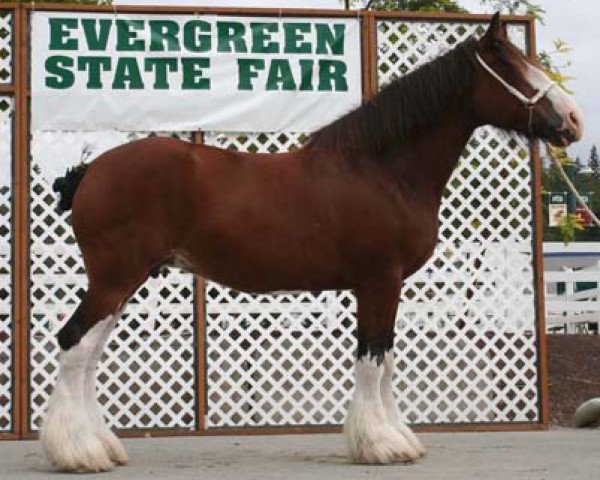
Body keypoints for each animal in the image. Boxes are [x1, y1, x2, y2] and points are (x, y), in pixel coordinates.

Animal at [41, 14, 580, 472]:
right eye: (511, 65)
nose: (572, 121)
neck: (383, 168)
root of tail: (92, 170)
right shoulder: (378, 281)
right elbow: (372, 359)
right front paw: (380, 445)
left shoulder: (386, 286)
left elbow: (385, 358)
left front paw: (398, 437)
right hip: (114, 279)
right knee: (73, 345)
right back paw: (78, 453)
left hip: (125, 282)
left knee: (88, 353)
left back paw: (102, 446)